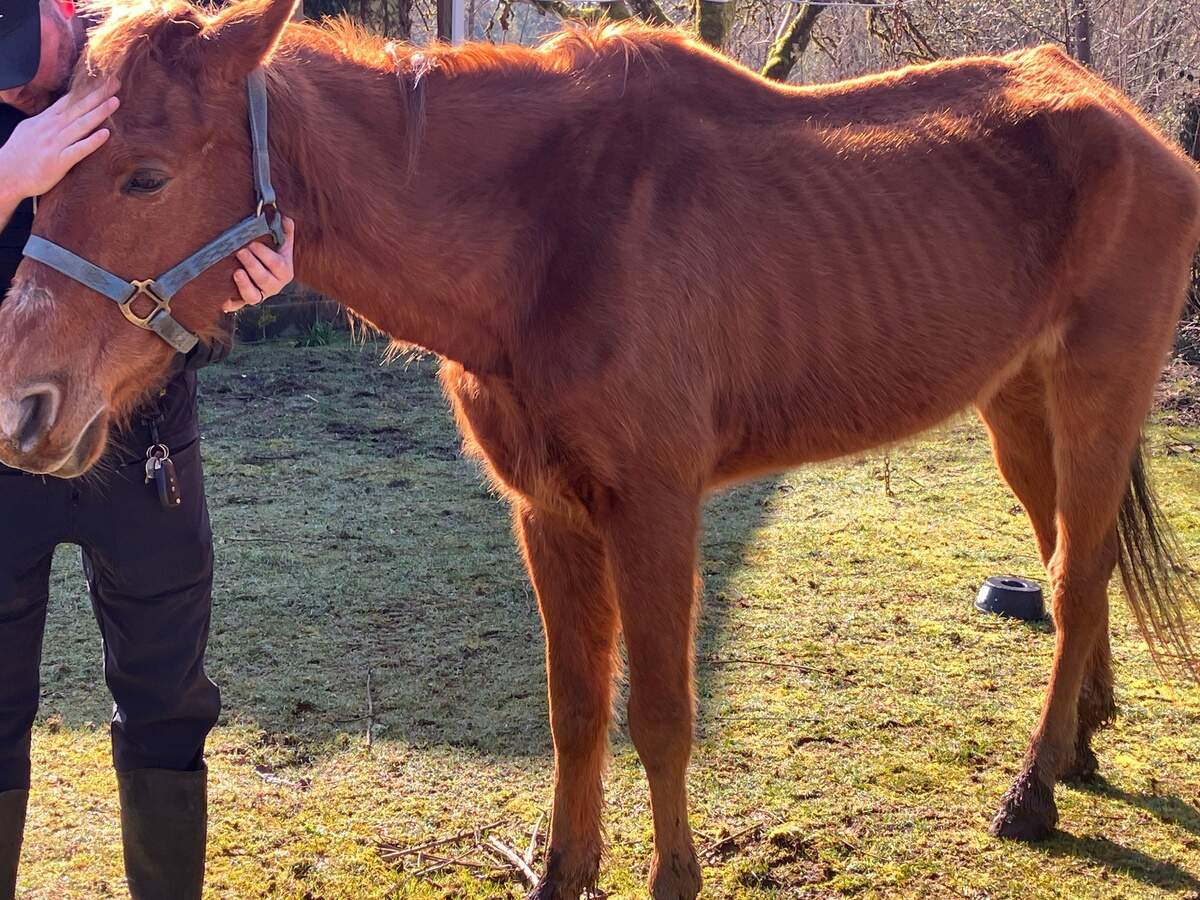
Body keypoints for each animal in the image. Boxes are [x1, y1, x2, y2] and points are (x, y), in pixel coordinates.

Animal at [1, 0, 1199, 895]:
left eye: (146, 175)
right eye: (46, 172)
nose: (22, 404)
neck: (548, 231)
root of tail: (1129, 122)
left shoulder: (656, 507)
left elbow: (660, 715)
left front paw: (672, 879)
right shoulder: (548, 511)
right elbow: (576, 707)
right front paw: (561, 869)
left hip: (1095, 393)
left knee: (1076, 581)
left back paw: (1032, 793)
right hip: (1020, 409)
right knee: (1073, 561)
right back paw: (1080, 744)